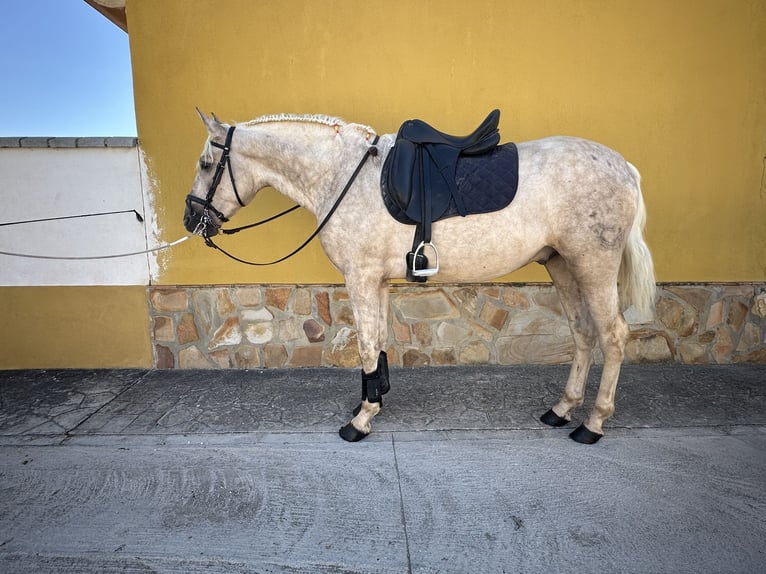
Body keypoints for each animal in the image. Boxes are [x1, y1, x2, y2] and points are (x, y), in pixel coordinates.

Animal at [183, 110, 656, 448]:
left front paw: (361, 419)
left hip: (592, 265)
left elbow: (366, 344)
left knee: (613, 335)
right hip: (562, 265)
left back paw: (592, 423)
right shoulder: (378, 280)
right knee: (582, 333)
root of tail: (623, 166)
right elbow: (379, 341)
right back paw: (562, 409)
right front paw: (372, 399)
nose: (191, 219)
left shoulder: (360, 277)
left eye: (206, 164)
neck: (341, 175)